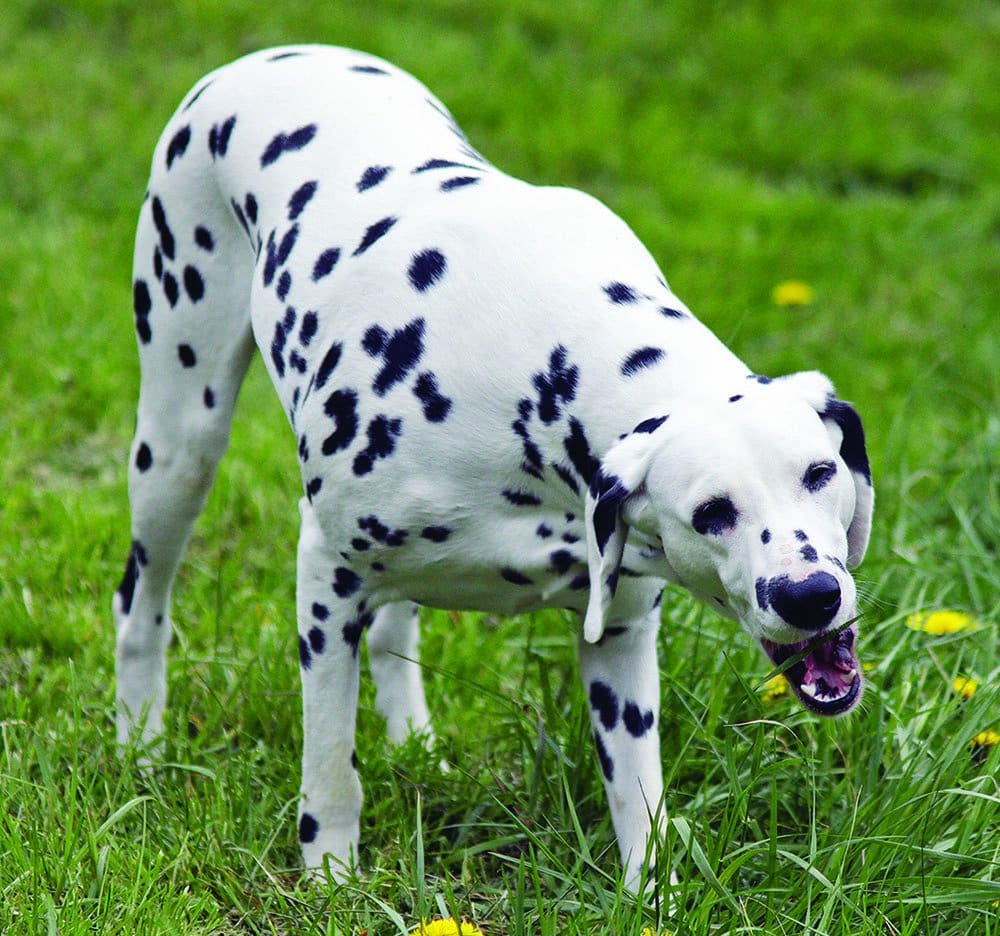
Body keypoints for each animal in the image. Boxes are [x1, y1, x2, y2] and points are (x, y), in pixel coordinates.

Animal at [113, 45, 872, 892]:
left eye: (819, 472)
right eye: (711, 512)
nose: (810, 595)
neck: (536, 372)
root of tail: (277, 54)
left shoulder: (620, 634)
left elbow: (640, 804)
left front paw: (654, 898)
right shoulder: (325, 586)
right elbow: (331, 767)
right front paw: (330, 874)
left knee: (393, 626)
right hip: (180, 443)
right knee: (142, 600)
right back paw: (140, 749)